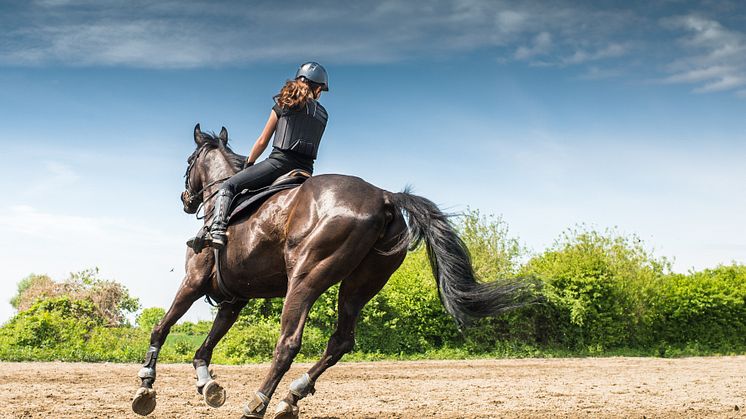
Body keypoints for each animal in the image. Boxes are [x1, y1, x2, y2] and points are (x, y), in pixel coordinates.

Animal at [131, 124, 532, 419]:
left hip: (306, 278)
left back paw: (259, 402)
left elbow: (161, 327)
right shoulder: (234, 299)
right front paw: (207, 385)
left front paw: (146, 385)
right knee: (340, 341)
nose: (186, 200)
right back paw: (291, 397)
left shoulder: (194, 282)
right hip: (359, 285)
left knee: (289, 342)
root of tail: (385, 196)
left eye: (189, 160)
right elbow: (206, 346)